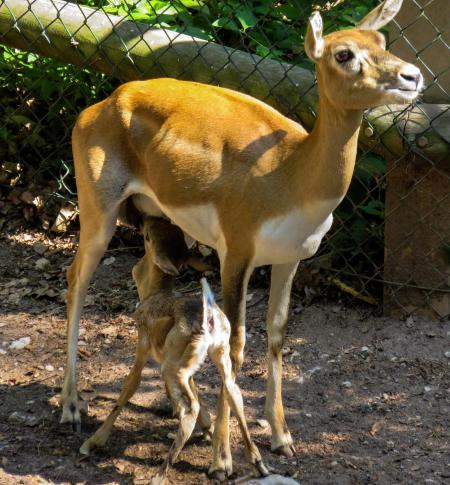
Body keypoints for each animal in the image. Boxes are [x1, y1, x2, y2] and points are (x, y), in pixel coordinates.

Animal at [60, 0, 422, 476]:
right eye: (343, 53)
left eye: (381, 40)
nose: (412, 76)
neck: (290, 174)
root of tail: (101, 104)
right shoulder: (236, 253)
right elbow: (234, 347)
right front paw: (222, 458)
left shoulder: (290, 258)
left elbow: (277, 335)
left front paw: (283, 438)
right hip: (98, 212)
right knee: (75, 281)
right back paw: (71, 408)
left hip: (158, 219)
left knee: (141, 273)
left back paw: (170, 407)